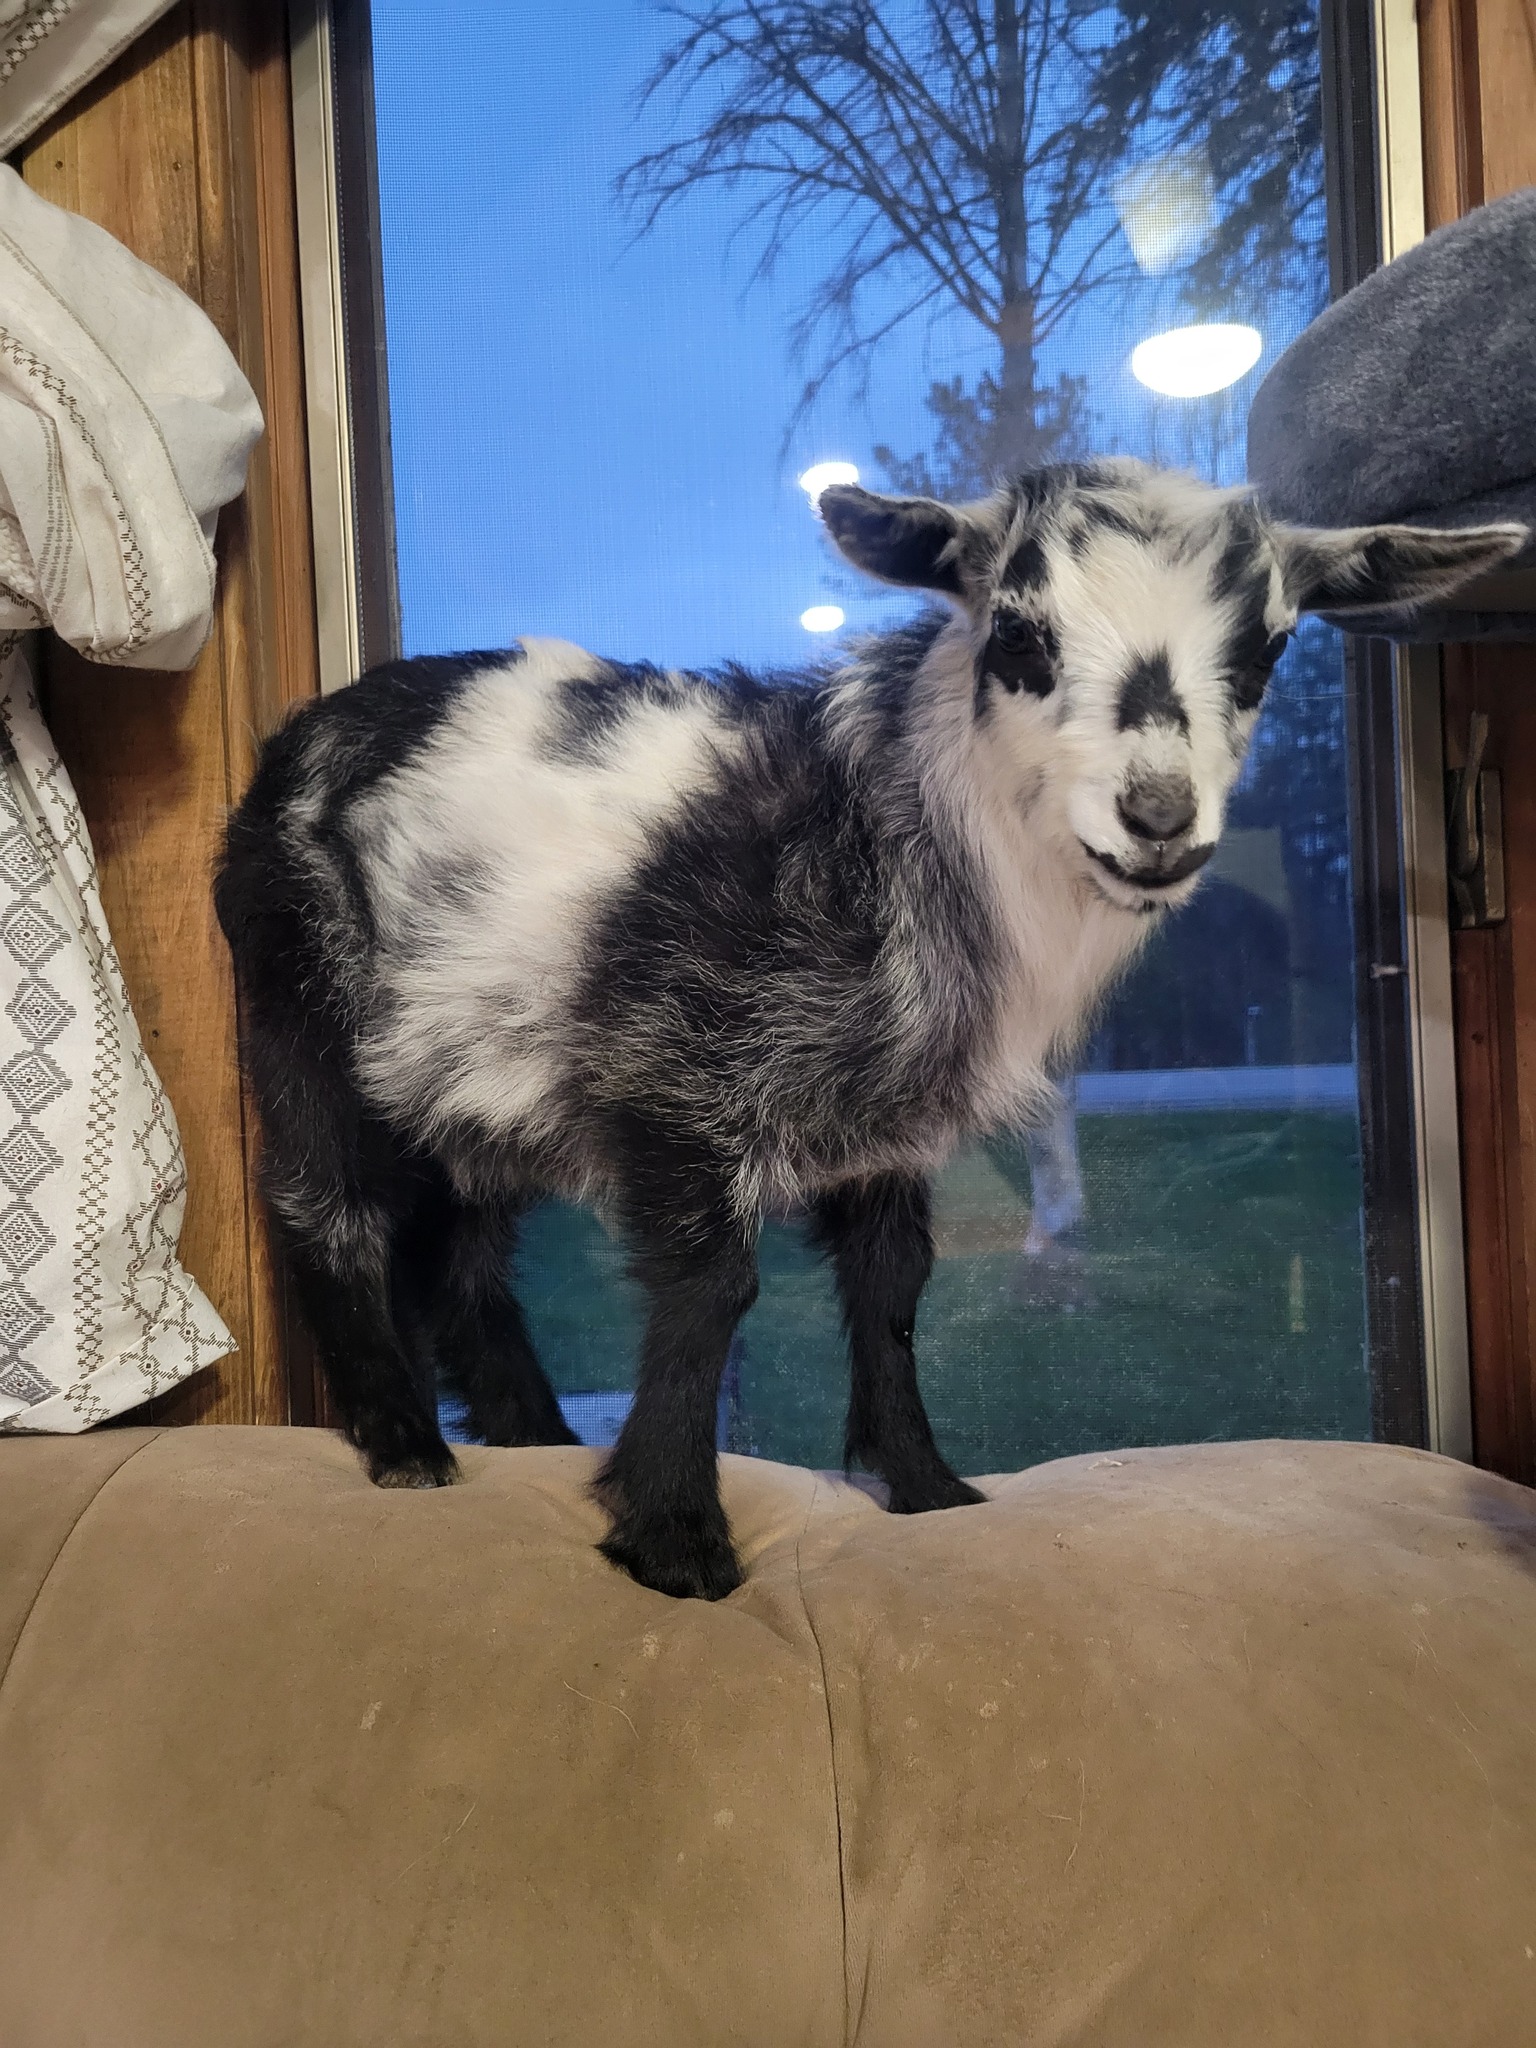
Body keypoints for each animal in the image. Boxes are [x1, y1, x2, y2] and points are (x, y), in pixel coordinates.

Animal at [215, 460, 1522, 1599]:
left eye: (1269, 648)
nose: (1158, 816)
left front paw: (926, 1484)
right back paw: (403, 1440)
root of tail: (290, 745)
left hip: (478, 1065)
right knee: (326, 1206)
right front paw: (675, 1532)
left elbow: (893, 1291)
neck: (879, 841)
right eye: (1019, 633)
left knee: (461, 1254)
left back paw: (528, 1431)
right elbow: (712, 1290)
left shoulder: (884, 1131)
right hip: (306, 1003)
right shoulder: (671, 1073)